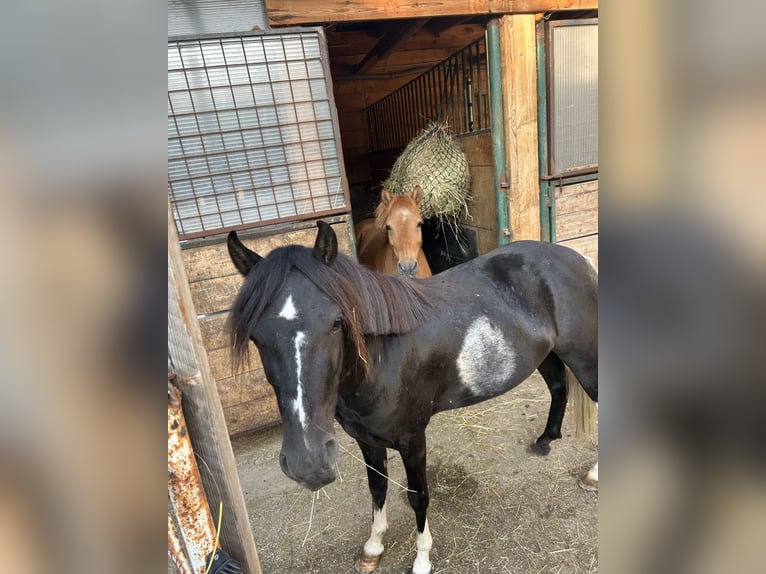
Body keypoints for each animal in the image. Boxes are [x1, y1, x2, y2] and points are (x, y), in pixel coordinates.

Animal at [227, 222, 598, 574]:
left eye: (336, 321)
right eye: (256, 336)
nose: (308, 463)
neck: (385, 357)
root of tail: (577, 259)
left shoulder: (412, 439)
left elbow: (418, 496)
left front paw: (422, 560)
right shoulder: (366, 440)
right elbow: (377, 489)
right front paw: (373, 548)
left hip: (583, 355)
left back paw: (592, 476)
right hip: (546, 354)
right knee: (558, 386)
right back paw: (545, 440)